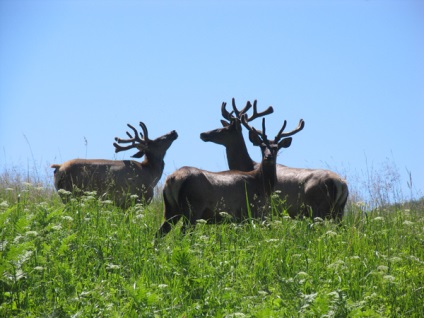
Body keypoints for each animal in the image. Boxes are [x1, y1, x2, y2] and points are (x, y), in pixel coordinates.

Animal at [157, 113, 304, 237]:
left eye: (276, 147)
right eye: (262, 146)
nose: (269, 157)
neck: (261, 183)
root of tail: (173, 179)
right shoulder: (251, 212)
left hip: (170, 208)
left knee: (159, 233)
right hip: (192, 207)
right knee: (183, 233)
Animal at [200, 98, 350, 220]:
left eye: (223, 130)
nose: (203, 134)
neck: (250, 166)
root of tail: (341, 184)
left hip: (319, 207)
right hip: (339, 210)